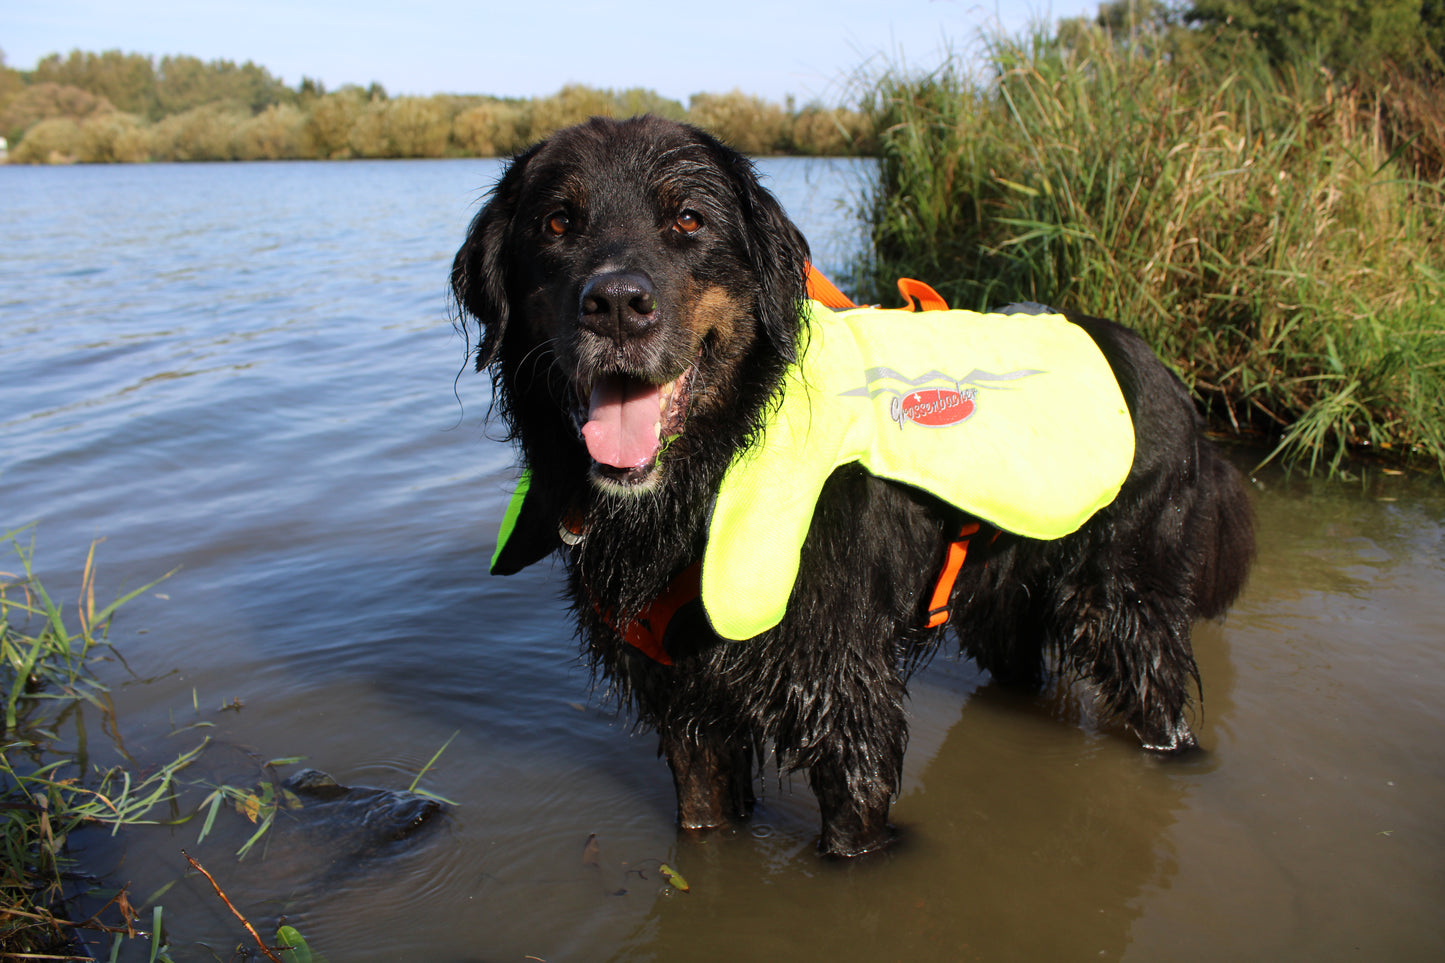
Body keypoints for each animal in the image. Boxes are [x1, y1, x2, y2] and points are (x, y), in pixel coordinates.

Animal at [450, 114, 1254, 856]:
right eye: (557, 221)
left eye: (688, 219)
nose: (617, 303)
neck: (708, 471)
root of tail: (1167, 375)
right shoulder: (685, 704)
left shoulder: (842, 697)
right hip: (1006, 606)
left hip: (1125, 602)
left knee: (1159, 695)